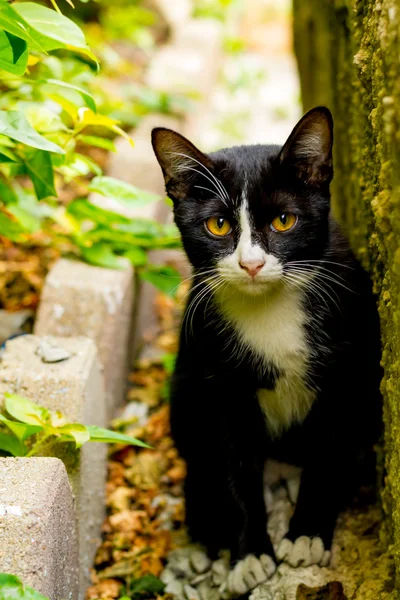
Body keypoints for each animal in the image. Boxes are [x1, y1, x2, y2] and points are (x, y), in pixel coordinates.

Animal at [151, 109, 382, 600]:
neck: (270, 309)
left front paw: (308, 534)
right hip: (185, 383)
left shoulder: (344, 376)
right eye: (218, 226)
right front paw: (249, 553)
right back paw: (204, 528)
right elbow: (233, 465)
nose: (251, 264)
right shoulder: (221, 386)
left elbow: (327, 454)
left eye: (283, 220)